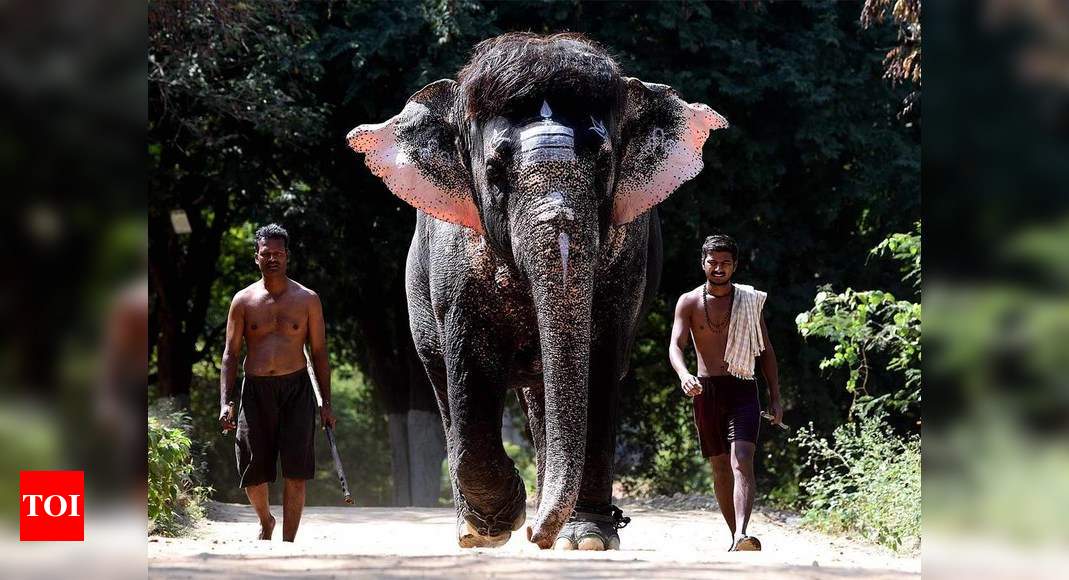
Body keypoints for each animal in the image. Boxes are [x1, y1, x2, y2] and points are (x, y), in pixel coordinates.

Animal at [346, 34, 731, 551]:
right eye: (493, 170)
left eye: (604, 162)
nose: (535, 535)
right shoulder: (456, 257)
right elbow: (470, 361)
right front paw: (499, 522)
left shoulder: (627, 255)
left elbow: (599, 360)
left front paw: (585, 537)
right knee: (442, 382)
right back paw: (473, 532)